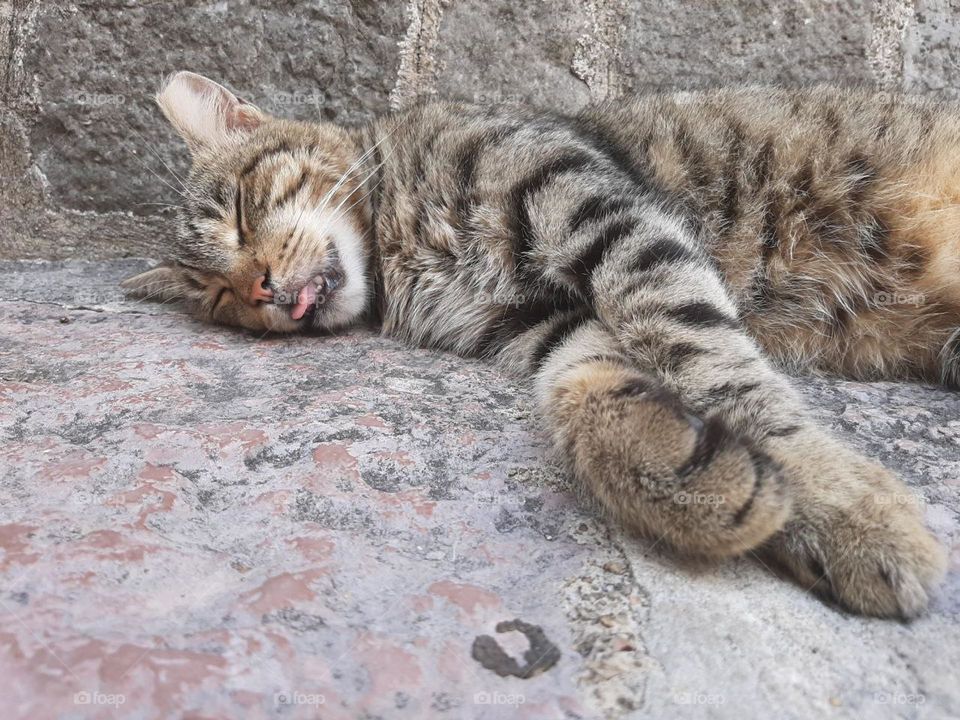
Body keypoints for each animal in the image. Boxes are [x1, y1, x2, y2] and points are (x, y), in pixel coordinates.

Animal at [125, 71, 952, 620]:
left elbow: (708, 355)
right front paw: (693, 479)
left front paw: (841, 509)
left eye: (238, 212)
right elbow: (588, 393)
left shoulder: (604, 215)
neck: (396, 250)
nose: (260, 290)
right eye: (219, 298)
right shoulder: (550, 322)